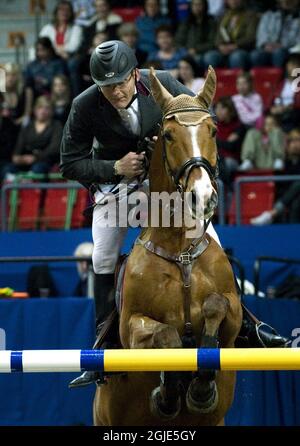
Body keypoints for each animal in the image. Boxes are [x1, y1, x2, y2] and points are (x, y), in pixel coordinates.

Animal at [94, 66, 244, 426]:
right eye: (169, 135)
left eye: (213, 130)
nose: (202, 197)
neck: (180, 250)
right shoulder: (132, 328)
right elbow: (166, 336)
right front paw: (168, 392)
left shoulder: (232, 319)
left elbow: (216, 306)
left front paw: (201, 387)